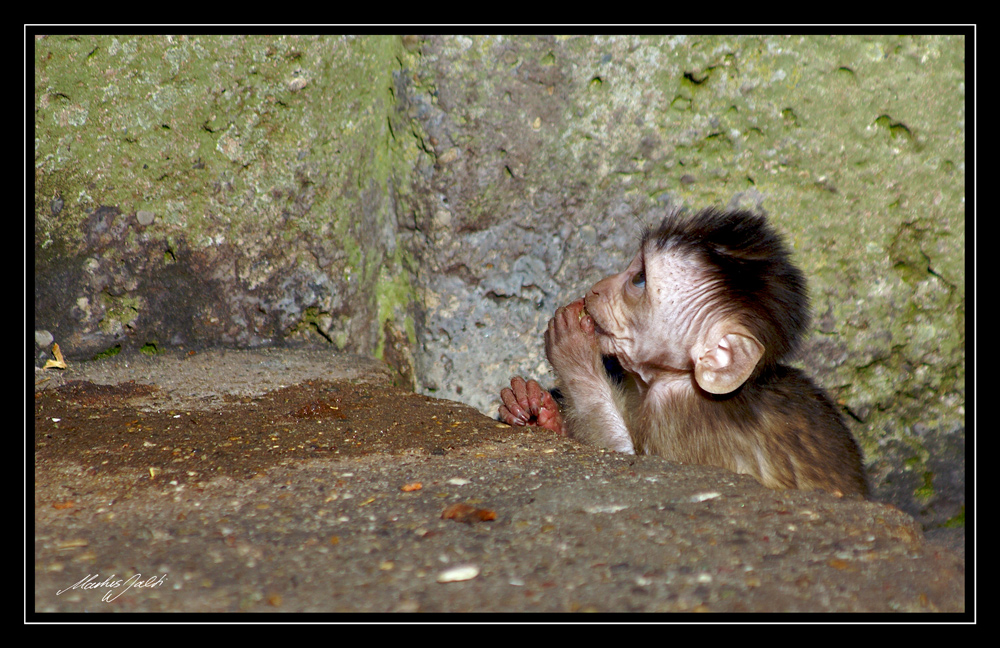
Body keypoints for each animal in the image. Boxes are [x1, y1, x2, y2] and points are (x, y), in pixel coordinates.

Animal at [500, 208, 868, 496]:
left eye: (639, 278)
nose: (596, 288)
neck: (683, 379)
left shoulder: (677, 415)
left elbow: (627, 459)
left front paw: (572, 350)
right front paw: (534, 410)